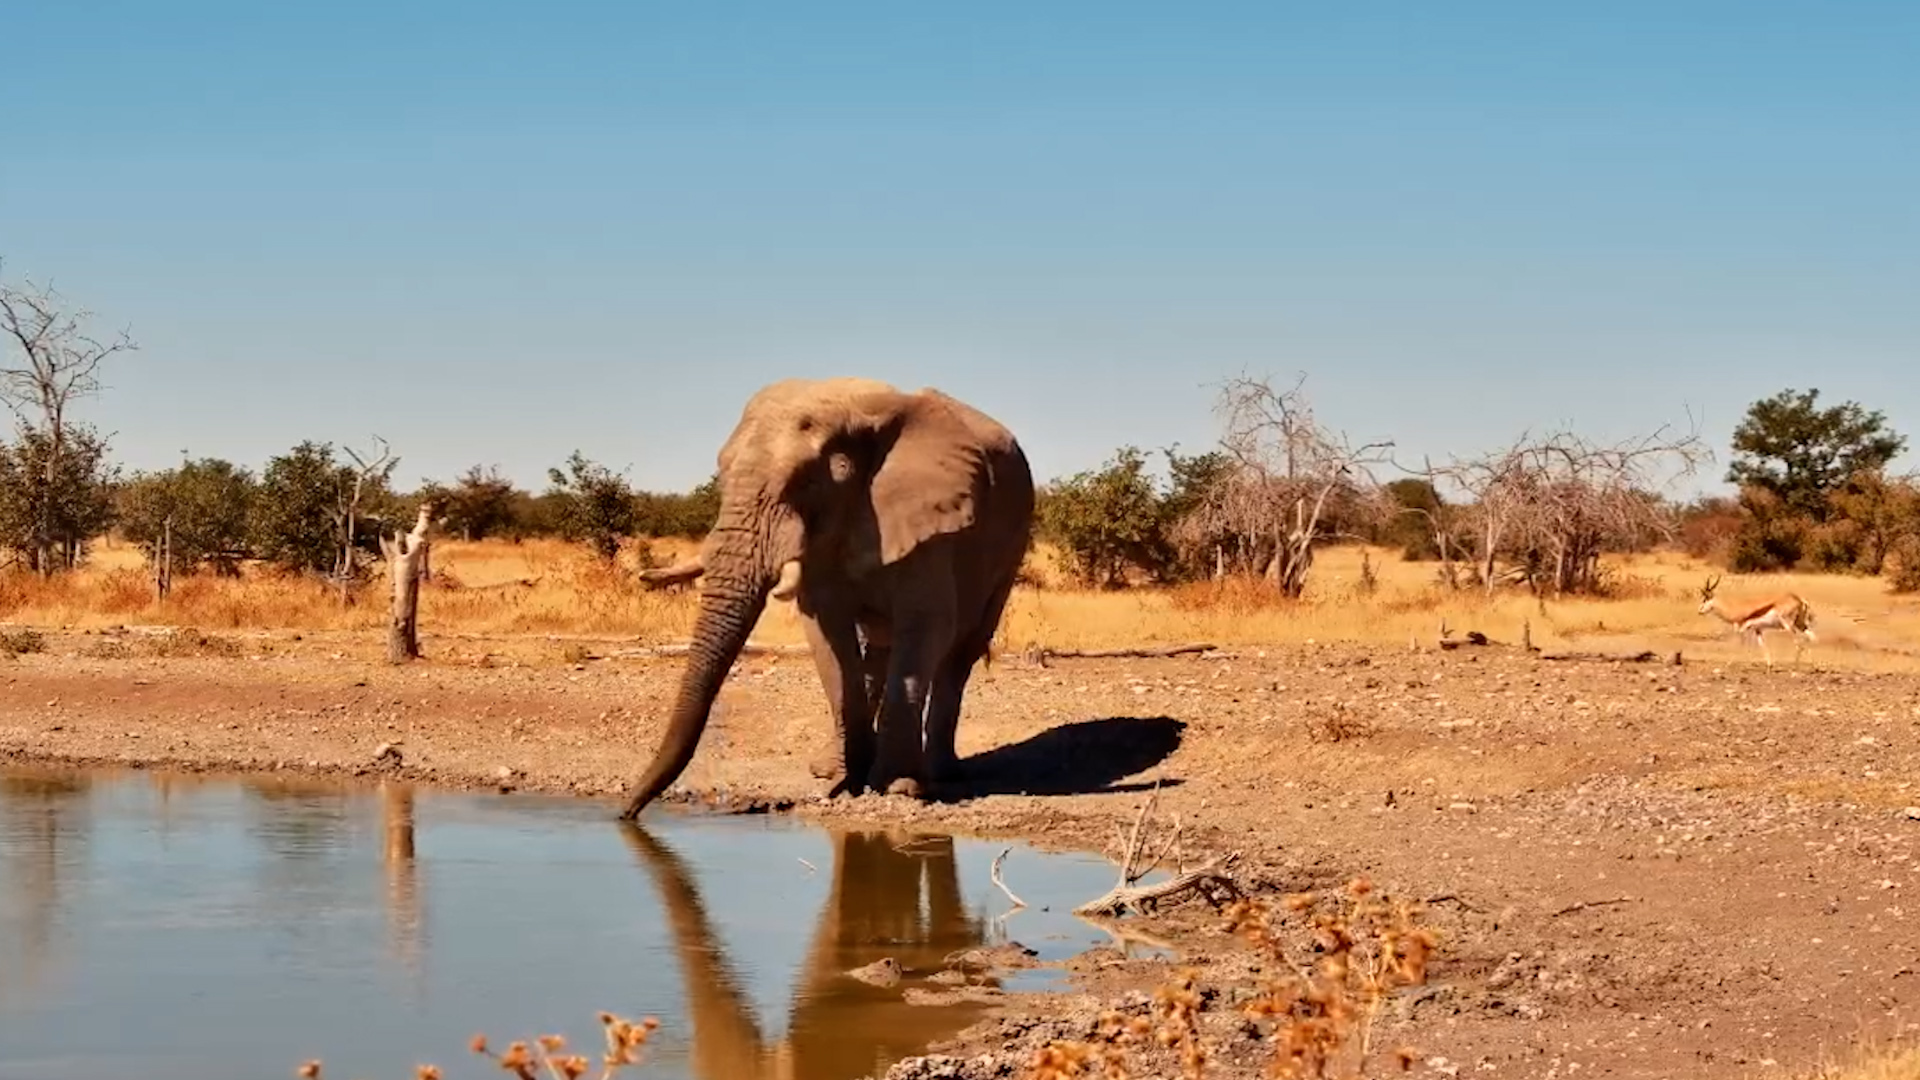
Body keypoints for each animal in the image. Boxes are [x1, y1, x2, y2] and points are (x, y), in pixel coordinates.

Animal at [618, 377, 1035, 820]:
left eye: (805, 484)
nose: (626, 813)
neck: (858, 410)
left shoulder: (930, 524)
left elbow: (926, 627)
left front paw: (897, 788)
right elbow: (826, 631)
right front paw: (843, 778)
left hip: (1011, 546)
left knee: (961, 652)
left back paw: (941, 772)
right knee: (877, 650)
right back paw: (830, 765)